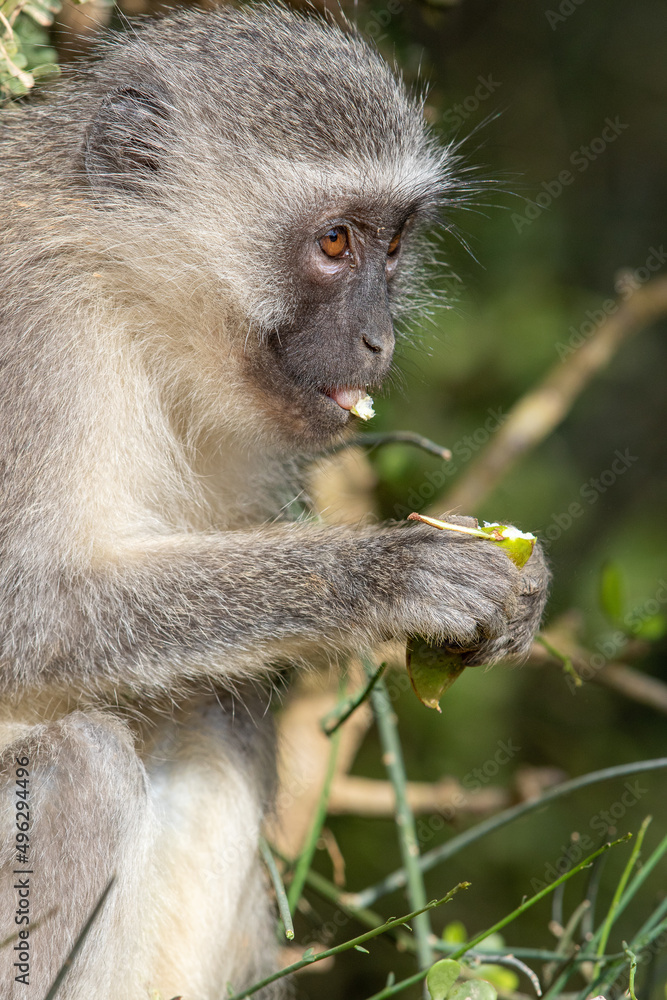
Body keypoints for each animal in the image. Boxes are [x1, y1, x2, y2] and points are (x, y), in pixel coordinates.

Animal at [0, 5, 549, 998]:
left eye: (392, 245)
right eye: (333, 243)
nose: (377, 339)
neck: (121, 291)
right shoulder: (32, 339)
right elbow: (28, 612)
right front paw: (386, 571)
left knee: (219, 700)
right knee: (79, 764)